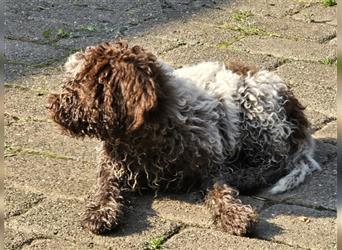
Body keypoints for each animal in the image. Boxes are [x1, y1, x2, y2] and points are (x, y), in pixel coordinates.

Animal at [46, 41, 320, 236]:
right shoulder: (111, 168)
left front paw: (234, 213)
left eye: (81, 84)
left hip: (257, 109)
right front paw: (102, 211)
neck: (143, 138)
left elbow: (220, 190)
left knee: (274, 163)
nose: (51, 105)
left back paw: (241, 174)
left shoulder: (209, 166)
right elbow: (105, 189)